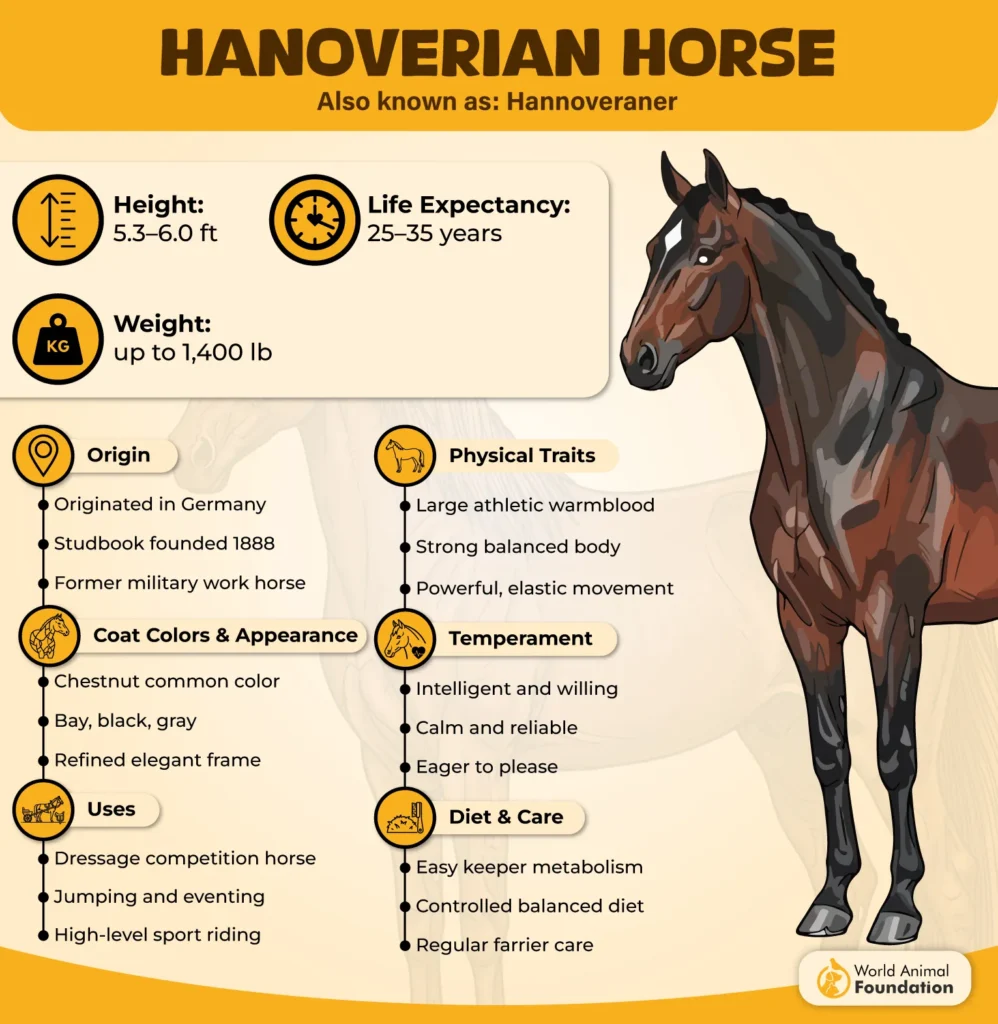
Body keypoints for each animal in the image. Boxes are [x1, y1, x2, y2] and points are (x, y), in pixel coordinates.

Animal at [620, 149, 998, 945]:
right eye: (651, 251)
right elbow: (830, 752)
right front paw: (832, 897)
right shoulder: (803, 619)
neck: (851, 438)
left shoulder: (893, 618)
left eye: (706, 253)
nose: (639, 358)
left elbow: (893, 754)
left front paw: (899, 906)